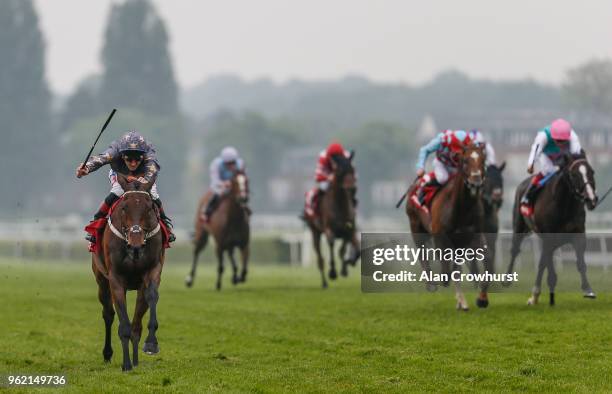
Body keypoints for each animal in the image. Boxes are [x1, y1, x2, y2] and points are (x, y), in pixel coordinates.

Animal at [89, 174, 164, 370]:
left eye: (149, 207)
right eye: (124, 207)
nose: (135, 244)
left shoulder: (153, 270)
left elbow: (152, 296)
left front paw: (151, 344)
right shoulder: (115, 278)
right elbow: (123, 323)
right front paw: (126, 364)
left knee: (137, 323)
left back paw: (136, 360)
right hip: (101, 281)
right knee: (108, 314)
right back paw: (108, 354)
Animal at [304, 154, 360, 290]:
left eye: (352, 169)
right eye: (340, 171)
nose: (351, 188)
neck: (340, 204)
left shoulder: (350, 230)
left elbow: (350, 250)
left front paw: (347, 266)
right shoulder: (329, 230)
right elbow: (331, 243)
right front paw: (333, 272)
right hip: (315, 231)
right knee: (320, 258)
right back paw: (324, 283)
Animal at [406, 145, 492, 310]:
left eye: (483, 160)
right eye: (465, 161)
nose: (476, 180)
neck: (461, 209)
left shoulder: (474, 236)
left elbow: (487, 263)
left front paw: (481, 299)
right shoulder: (442, 238)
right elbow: (449, 271)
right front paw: (462, 301)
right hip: (415, 227)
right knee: (422, 253)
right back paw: (431, 284)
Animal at [504, 152, 600, 306]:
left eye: (592, 171)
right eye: (574, 174)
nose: (591, 199)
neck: (563, 205)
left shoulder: (578, 234)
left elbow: (580, 263)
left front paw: (587, 289)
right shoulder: (549, 238)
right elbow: (549, 268)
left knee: (541, 262)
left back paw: (534, 295)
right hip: (518, 225)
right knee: (515, 250)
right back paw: (508, 279)